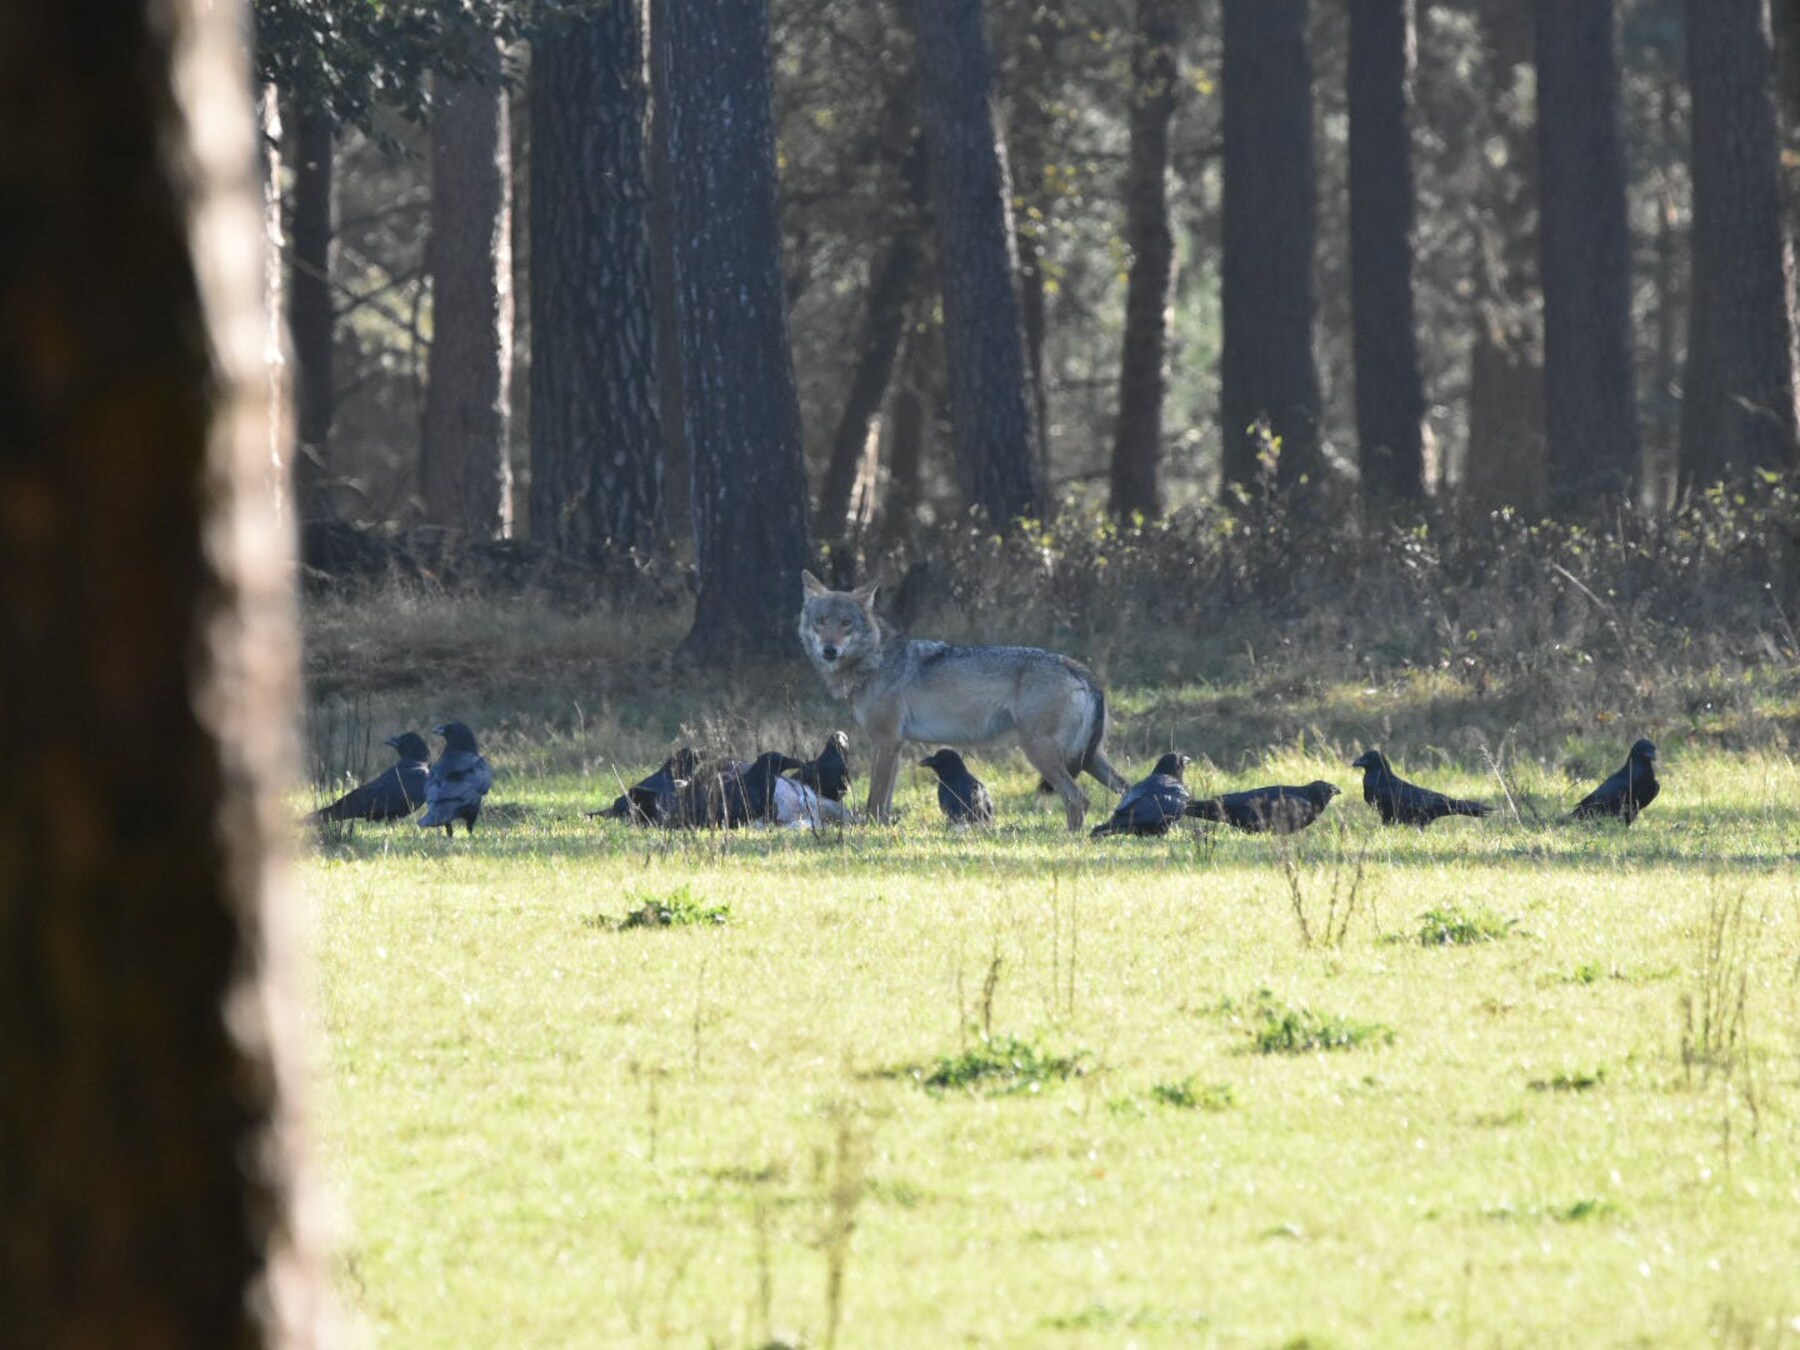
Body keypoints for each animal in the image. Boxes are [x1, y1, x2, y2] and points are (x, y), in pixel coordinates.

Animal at [798, 573, 1129, 830]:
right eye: (821, 622)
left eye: (845, 623)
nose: (829, 650)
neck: (874, 661)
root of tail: (1080, 669)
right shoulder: (896, 745)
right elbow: (885, 802)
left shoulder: (886, 742)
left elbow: (875, 801)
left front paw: (869, 832)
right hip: (1089, 759)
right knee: (1124, 788)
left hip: (1041, 752)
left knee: (1078, 799)